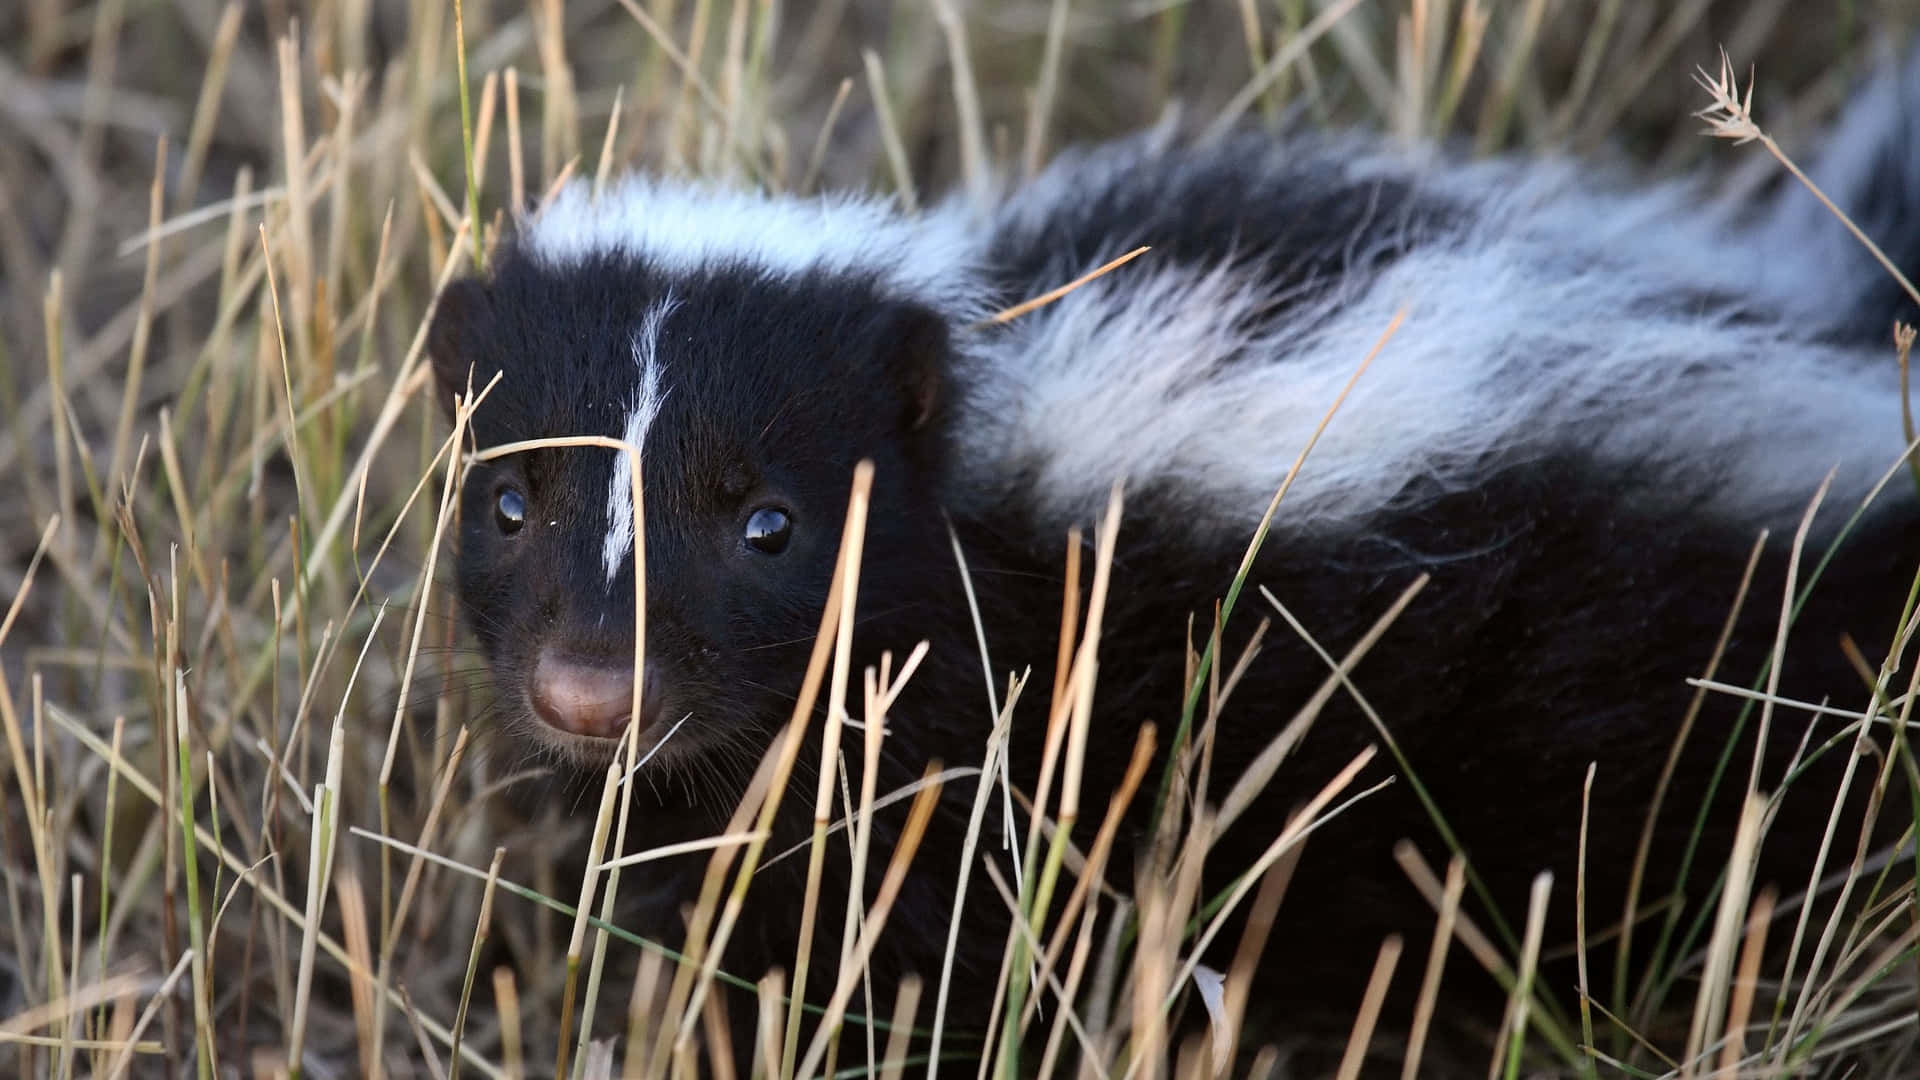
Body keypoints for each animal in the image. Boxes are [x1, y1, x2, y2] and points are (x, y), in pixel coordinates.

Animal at [424, 52, 1920, 1068]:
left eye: (770, 526)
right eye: (508, 502)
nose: (590, 690)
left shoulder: (1038, 727)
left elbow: (955, 942)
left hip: (1633, 691)